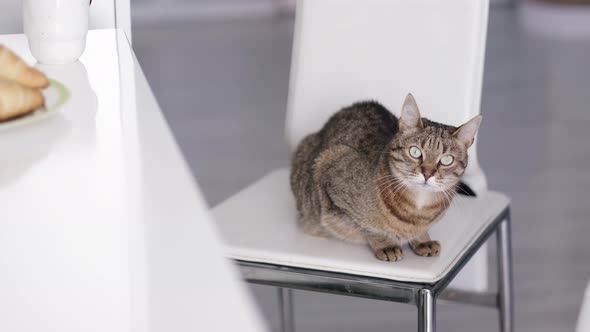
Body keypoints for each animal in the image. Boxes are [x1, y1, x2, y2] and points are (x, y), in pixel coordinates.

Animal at [290, 94, 484, 262]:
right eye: (415, 152)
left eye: (446, 160)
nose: (427, 173)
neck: (417, 213)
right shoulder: (329, 169)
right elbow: (366, 226)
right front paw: (385, 243)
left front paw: (422, 239)